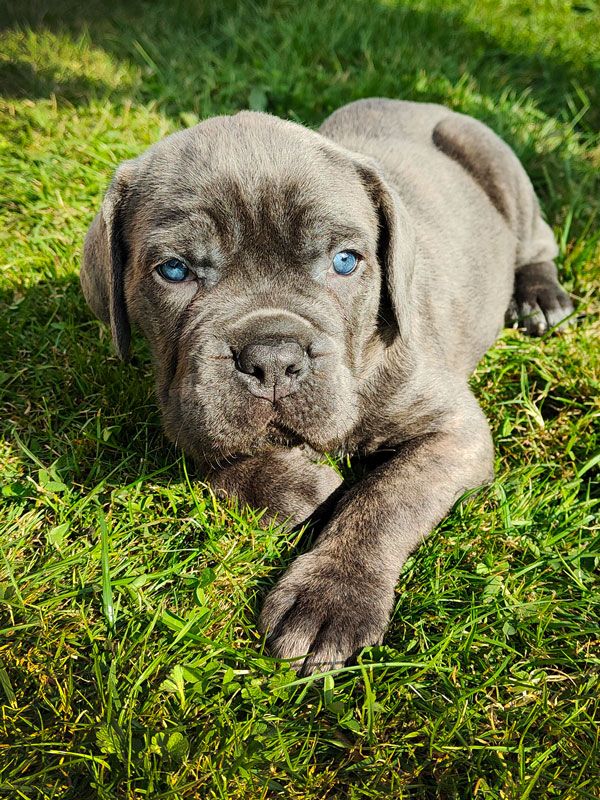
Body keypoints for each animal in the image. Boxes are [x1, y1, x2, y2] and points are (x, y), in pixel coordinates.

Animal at [79, 98, 572, 676]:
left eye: (344, 262)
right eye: (174, 271)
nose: (272, 359)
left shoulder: (455, 431)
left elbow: (387, 497)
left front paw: (332, 595)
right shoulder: (184, 400)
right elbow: (210, 446)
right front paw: (295, 484)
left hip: (500, 169)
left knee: (536, 241)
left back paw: (539, 295)